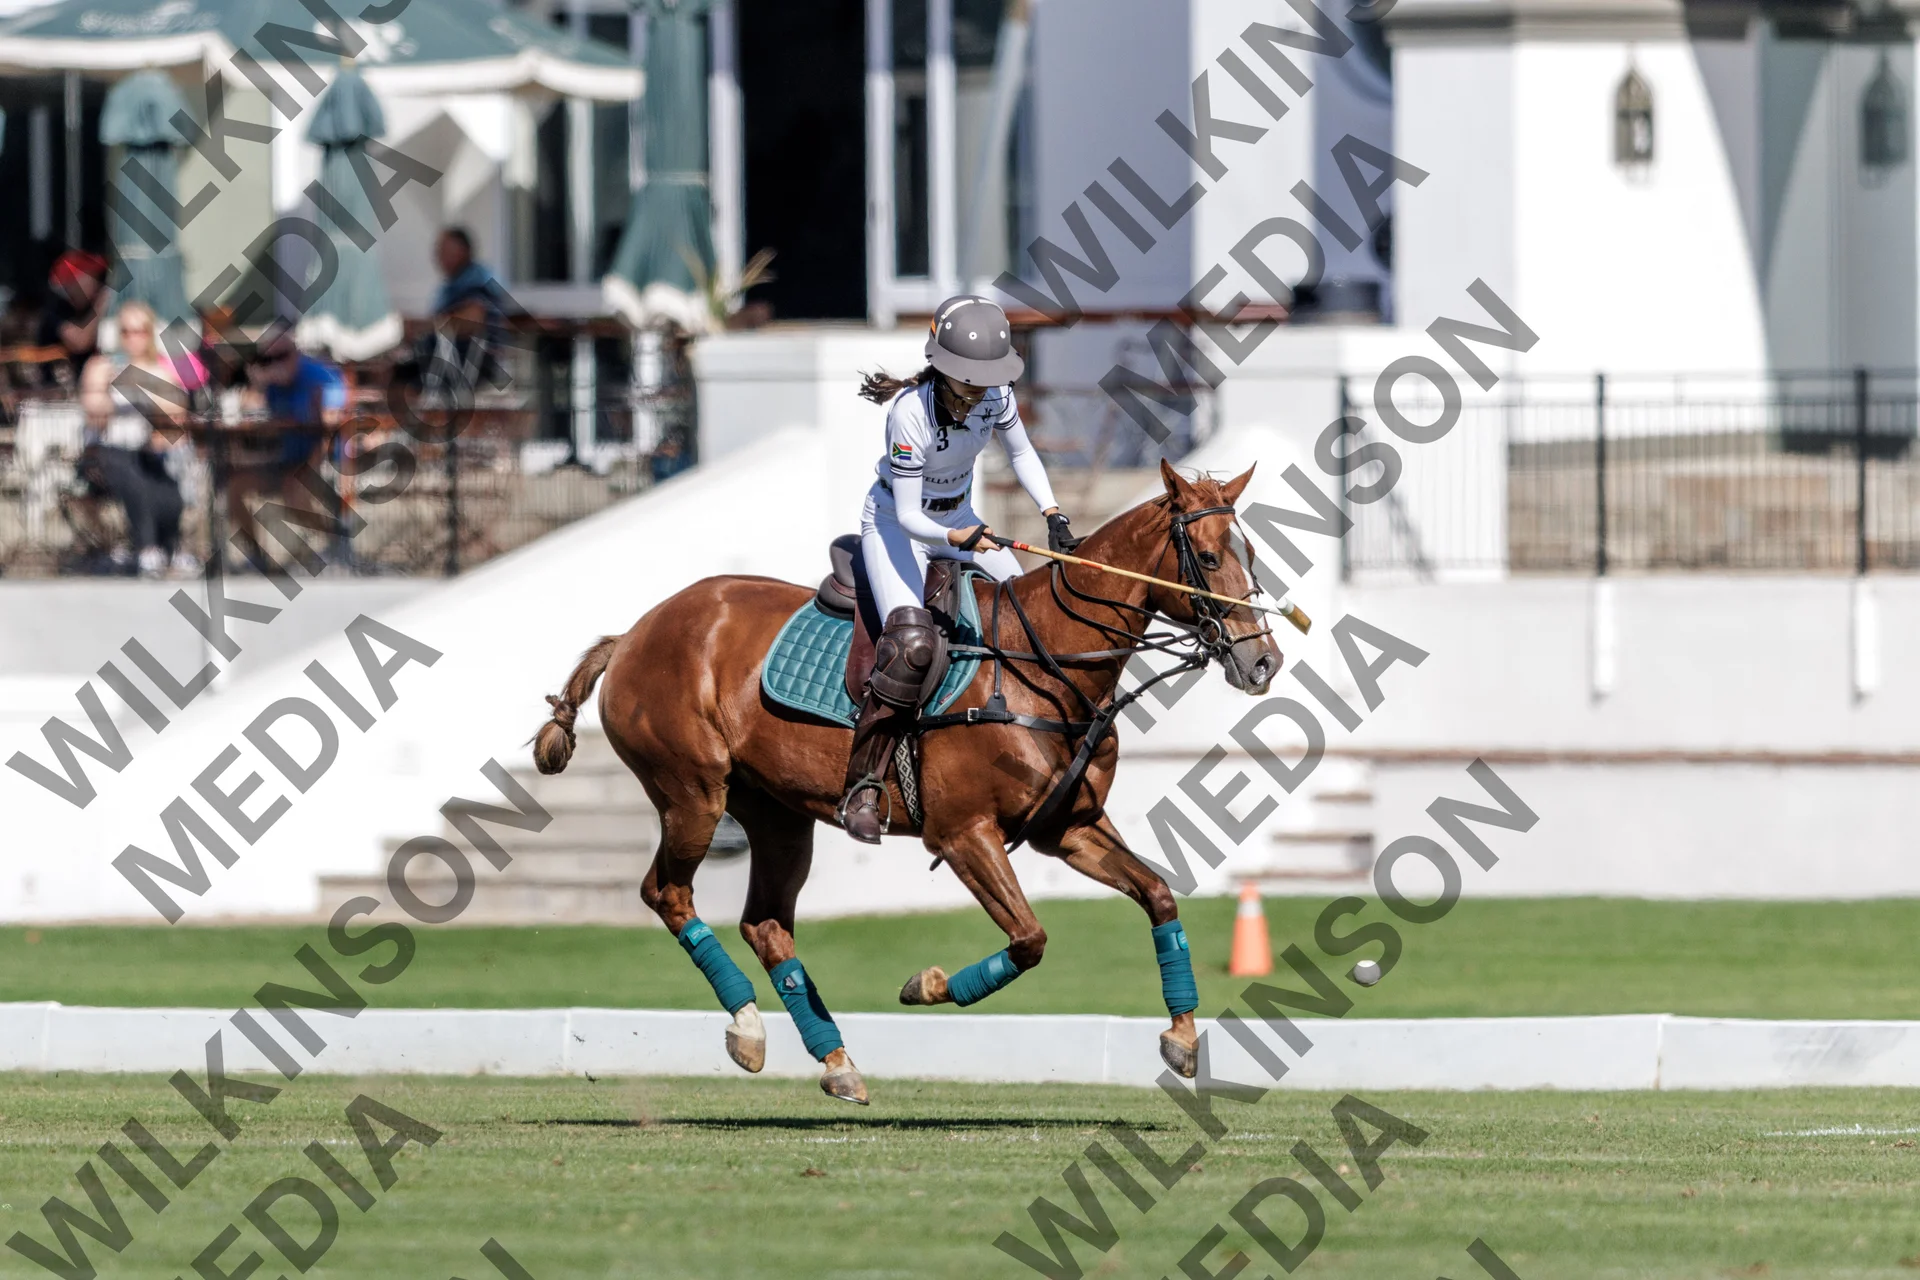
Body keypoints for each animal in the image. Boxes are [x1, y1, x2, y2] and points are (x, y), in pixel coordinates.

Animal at [530, 461, 1282, 1103]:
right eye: (1207, 557)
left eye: (1249, 553)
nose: (1262, 661)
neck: (1045, 663)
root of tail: (632, 634)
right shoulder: (962, 833)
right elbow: (1030, 938)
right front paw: (926, 985)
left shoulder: (1067, 828)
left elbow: (1157, 894)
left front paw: (1182, 1038)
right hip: (692, 792)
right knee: (668, 892)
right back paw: (747, 1028)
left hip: (777, 813)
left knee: (766, 924)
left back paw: (837, 1063)